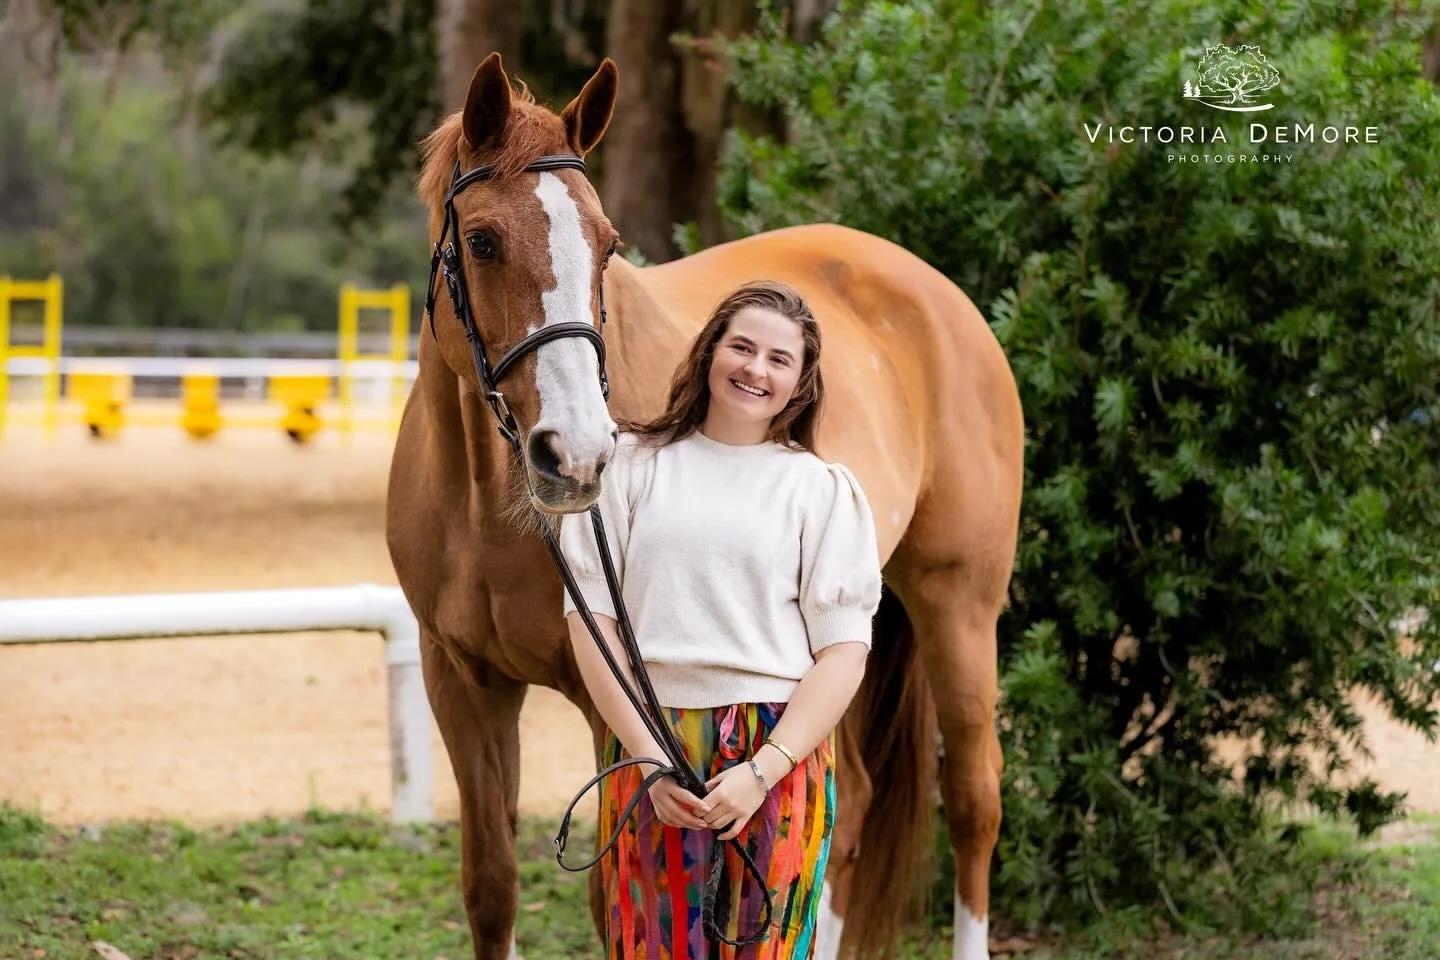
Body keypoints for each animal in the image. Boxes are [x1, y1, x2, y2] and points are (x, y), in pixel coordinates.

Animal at [386, 52, 1024, 960]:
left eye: (607, 246)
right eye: (482, 240)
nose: (576, 455)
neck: (488, 502)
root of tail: (937, 296)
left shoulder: (615, 699)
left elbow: (614, 900)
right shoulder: (460, 682)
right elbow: (491, 888)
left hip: (959, 603)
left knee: (972, 798)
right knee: (851, 808)